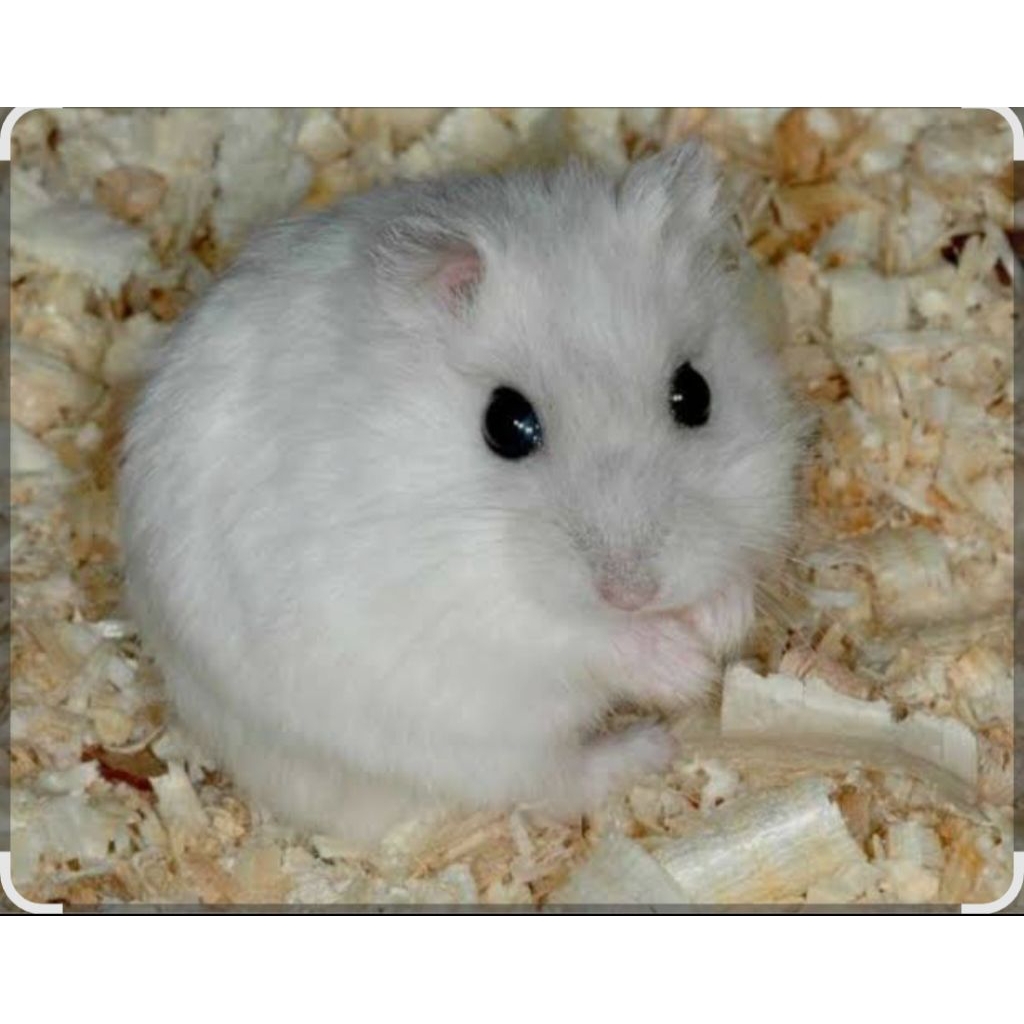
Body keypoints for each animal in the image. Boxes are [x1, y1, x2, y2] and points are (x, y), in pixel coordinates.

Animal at [119, 139, 803, 845]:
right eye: (505, 423)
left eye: (695, 393)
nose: (632, 593)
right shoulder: (468, 608)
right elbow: (576, 636)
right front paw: (690, 669)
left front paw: (723, 625)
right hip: (451, 744)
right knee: (549, 782)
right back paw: (650, 746)